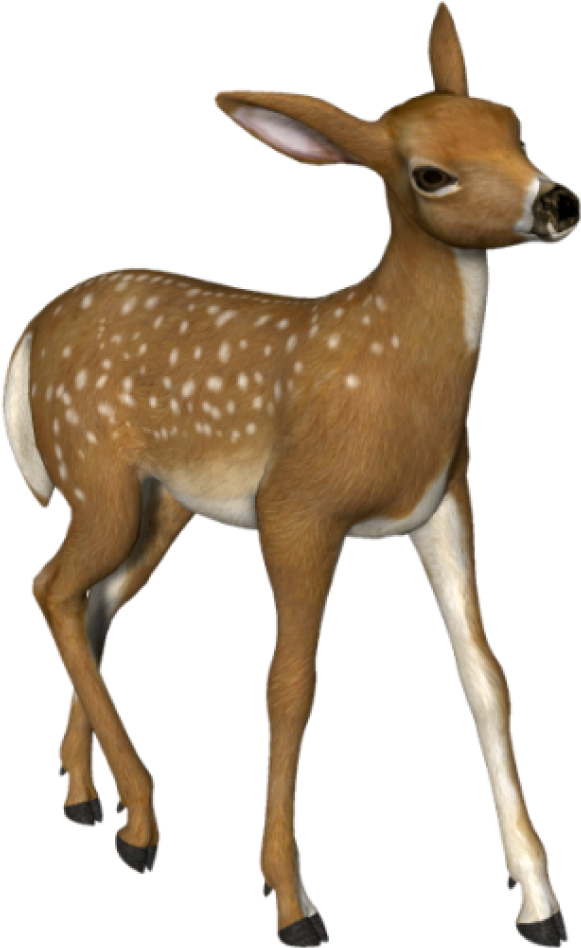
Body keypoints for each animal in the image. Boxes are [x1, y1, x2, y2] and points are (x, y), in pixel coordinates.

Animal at [1, 2, 576, 945]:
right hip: (95, 470)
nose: (557, 200)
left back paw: (96, 803)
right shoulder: (297, 506)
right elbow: (290, 688)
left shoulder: (444, 502)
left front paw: (537, 899)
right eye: (429, 174)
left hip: (163, 504)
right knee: (52, 587)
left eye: (514, 125)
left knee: (92, 599)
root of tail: (29, 336)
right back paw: (141, 817)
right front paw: (290, 901)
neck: (390, 374)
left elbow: (484, 679)